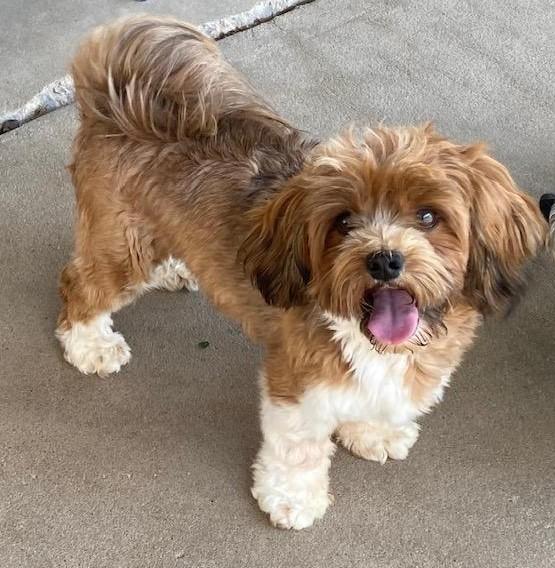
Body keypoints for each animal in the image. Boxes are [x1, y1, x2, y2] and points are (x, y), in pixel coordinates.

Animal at [56, 16, 547, 529]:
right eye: (344, 221)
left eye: (429, 216)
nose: (384, 259)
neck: (379, 342)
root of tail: (119, 93)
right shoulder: (297, 380)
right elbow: (298, 449)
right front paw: (292, 498)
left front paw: (371, 432)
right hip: (121, 248)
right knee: (81, 285)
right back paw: (91, 345)